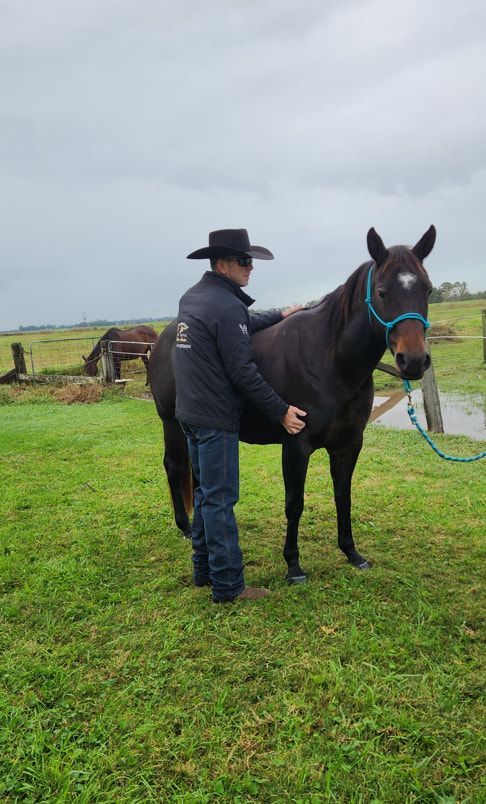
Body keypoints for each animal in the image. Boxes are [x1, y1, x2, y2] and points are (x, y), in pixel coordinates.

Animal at [148, 227, 436, 582]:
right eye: (382, 293)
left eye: (427, 289)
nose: (414, 361)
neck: (331, 361)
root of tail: (164, 338)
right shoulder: (296, 445)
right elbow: (294, 503)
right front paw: (294, 565)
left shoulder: (348, 445)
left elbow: (343, 497)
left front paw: (351, 553)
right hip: (171, 425)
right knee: (175, 468)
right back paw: (186, 528)